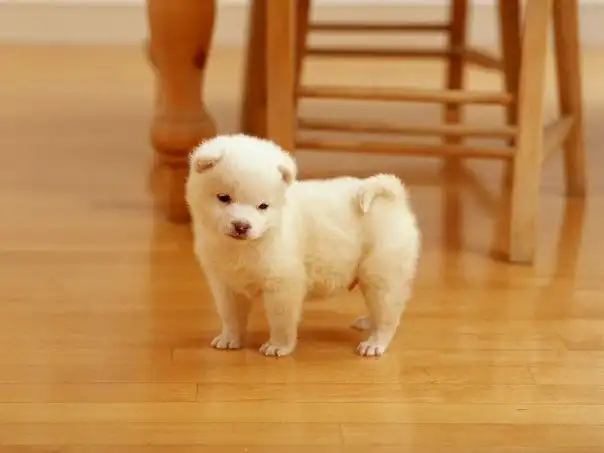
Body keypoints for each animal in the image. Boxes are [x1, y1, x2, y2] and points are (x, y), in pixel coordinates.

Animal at [185, 134, 420, 357]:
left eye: (263, 206)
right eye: (223, 197)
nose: (242, 226)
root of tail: (394, 199)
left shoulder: (283, 284)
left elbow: (281, 321)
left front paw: (278, 346)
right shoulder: (226, 283)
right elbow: (230, 316)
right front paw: (230, 339)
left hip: (382, 273)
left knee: (387, 315)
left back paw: (374, 343)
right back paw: (367, 323)